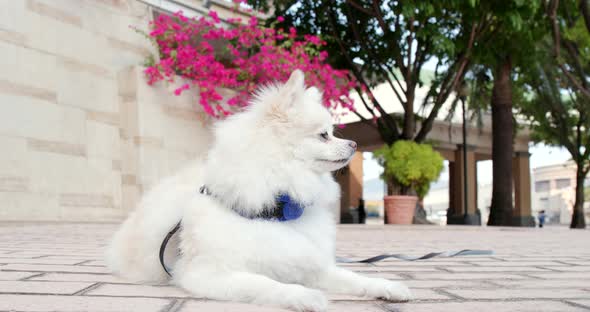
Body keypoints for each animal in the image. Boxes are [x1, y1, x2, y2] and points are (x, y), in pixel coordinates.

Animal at [107, 70, 412, 312]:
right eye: (324, 135)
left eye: (334, 132)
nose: (353, 144)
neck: (278, 210)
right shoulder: (207, 273)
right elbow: (263, 282)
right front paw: (303, 295)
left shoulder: (311, 264)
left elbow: (353, 278)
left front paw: (386, 286)